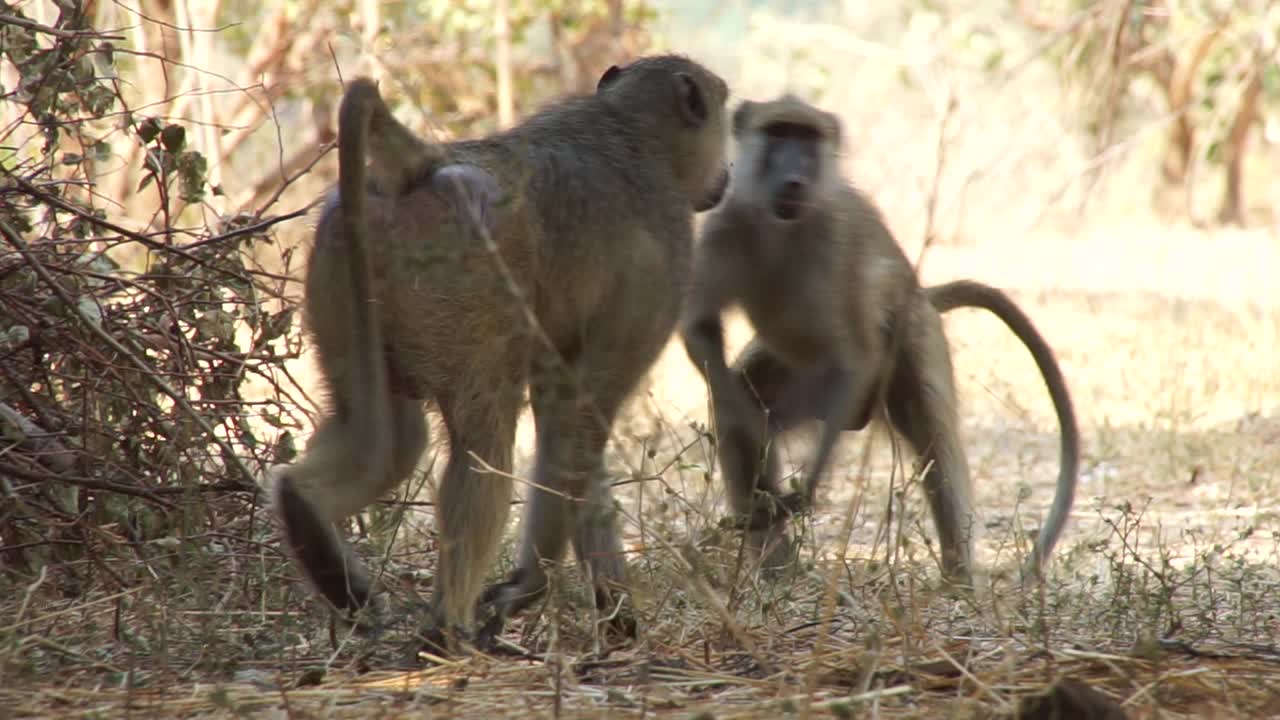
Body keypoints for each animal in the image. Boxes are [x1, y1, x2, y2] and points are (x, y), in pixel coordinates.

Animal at [270, 56, 732, 648]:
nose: (727, 175)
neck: (630, 129)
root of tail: (423, 166)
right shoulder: (668, 266)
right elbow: (579, 419)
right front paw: (535, 585)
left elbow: (571, 427)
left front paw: (618, 619)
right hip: (465, 274)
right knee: (482, 448)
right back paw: (442, 634)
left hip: (338, 261)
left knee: (389, 439)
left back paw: (307, 515)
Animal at [680, 95, 1080, 579]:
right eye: (778, 132)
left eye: (806, 138)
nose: (794, 179)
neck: (782, 229)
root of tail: (921, 294)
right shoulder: (726, 223)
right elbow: (703, 335)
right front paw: (754, 444)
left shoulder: (834, 249)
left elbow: (857, 355)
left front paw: (809, 485)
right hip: (804, 378)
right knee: (744, 390)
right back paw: (774, 564)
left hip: (909, 340)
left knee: (930, 436)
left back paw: (958, 578)